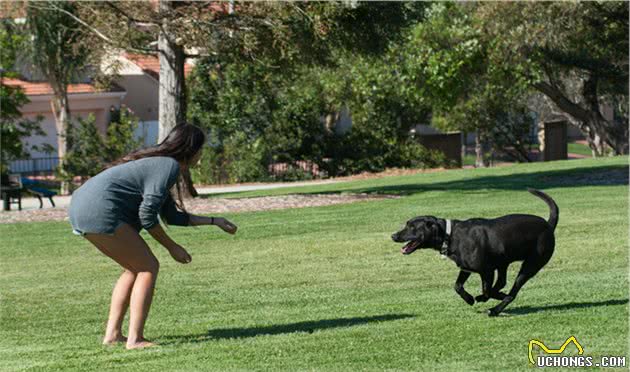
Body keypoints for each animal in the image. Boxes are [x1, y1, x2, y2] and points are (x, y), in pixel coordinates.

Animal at [392, 189, 560, 316]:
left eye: (412, 227)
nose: (393, 236)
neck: (449, 235)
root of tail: (548, 225)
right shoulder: (466, 268)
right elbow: (458, 286)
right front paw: (470, 299)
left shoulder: (486, 271)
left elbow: (486, 290)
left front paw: (481, 298)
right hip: (503, 263)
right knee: (502, 283)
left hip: (530, 265)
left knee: (512, 292)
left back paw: (494, 309)